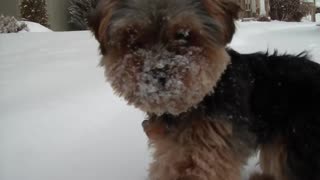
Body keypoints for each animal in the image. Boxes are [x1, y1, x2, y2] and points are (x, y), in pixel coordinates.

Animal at [88, 0, 320, 180]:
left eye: (183, 35)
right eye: (133, 39)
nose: (158, 71)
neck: (198, 100)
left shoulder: (210, 154)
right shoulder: (174, 151)